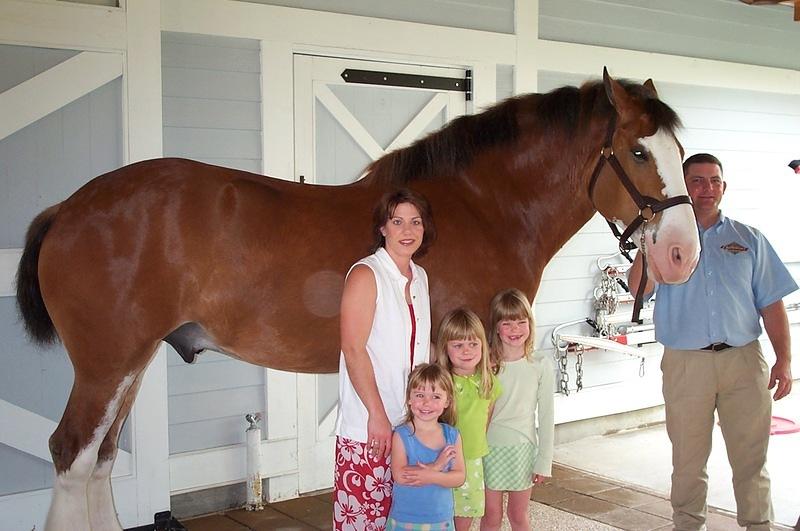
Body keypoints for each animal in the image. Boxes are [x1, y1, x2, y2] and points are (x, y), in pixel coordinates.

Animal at [14, 70, 700, 531]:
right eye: (639, 150)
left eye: (680, 152)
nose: (681, 254)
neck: (484, 206)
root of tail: (69, 208)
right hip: (107, 364)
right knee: (72, 458)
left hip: (128, 364)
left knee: (99, 462)